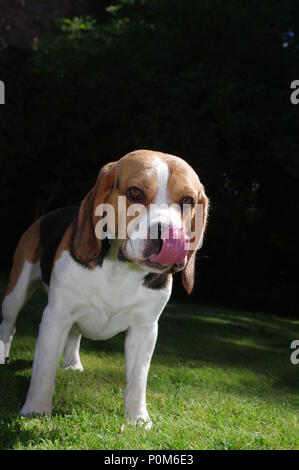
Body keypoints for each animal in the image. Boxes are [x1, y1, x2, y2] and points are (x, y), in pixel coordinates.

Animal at [0, 150, 209, 426]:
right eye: (135, 192)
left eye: (187, 200)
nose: (166, 236)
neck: (121, 268)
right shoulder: (56, 316)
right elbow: (44, 369)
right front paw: (36, 410)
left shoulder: (145, 329)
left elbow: (138, 380)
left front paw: (137, 419)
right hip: (16, 291)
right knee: (9, 326)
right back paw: (2, 357)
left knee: (74, 333)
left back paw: (72, 363)